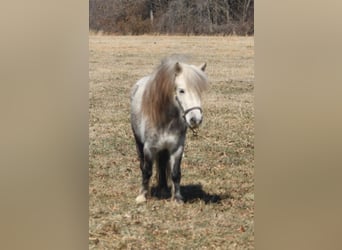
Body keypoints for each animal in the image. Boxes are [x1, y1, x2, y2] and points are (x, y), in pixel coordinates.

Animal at [130, 55, 208, 203]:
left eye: (200, 91)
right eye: (181, 90)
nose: (195, 119)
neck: (165, 120)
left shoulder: (177, 148)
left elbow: (175, 173)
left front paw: (177, 198)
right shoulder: (149, 148)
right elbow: (147, 171)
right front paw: (142, 196)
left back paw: (163, 188)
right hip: (139, 142)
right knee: (143, 165)